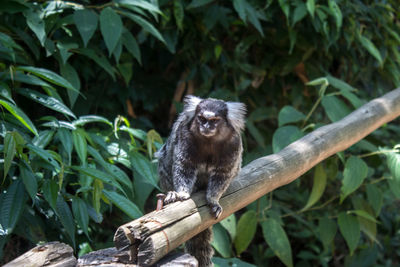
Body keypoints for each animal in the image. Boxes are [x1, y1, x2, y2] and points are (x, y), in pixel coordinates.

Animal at [157, 95, 245, 266]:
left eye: (214, 120)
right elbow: (184, 166)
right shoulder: (184, 135)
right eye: (202, 118)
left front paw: (213, 200)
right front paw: (182, 194)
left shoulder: (234, 143)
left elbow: (223, 174)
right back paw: (172, 193)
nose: (206, 126)